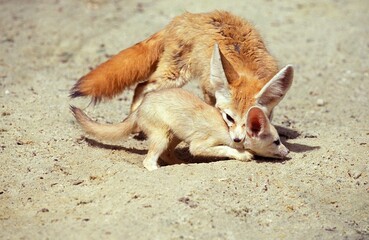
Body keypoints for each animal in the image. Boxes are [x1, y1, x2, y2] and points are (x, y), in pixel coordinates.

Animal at [69, 10, 294, 144]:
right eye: (229, 117)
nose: (238, 140)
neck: (247, 67)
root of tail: (185, 17)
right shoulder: (208, 88)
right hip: (174, 75)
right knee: (142, 86)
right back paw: (136, 125)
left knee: (141, 86)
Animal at [69, 88, 288, 171]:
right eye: (276, 141)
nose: (287, 152)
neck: (232, 132)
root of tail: (139, 108)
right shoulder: (200, 145)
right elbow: (226, 149)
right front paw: (243, 155)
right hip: (162, 136)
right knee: (149, 161)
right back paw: (158, 169)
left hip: (174, 136)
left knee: (167, 154)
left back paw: (180, 164)